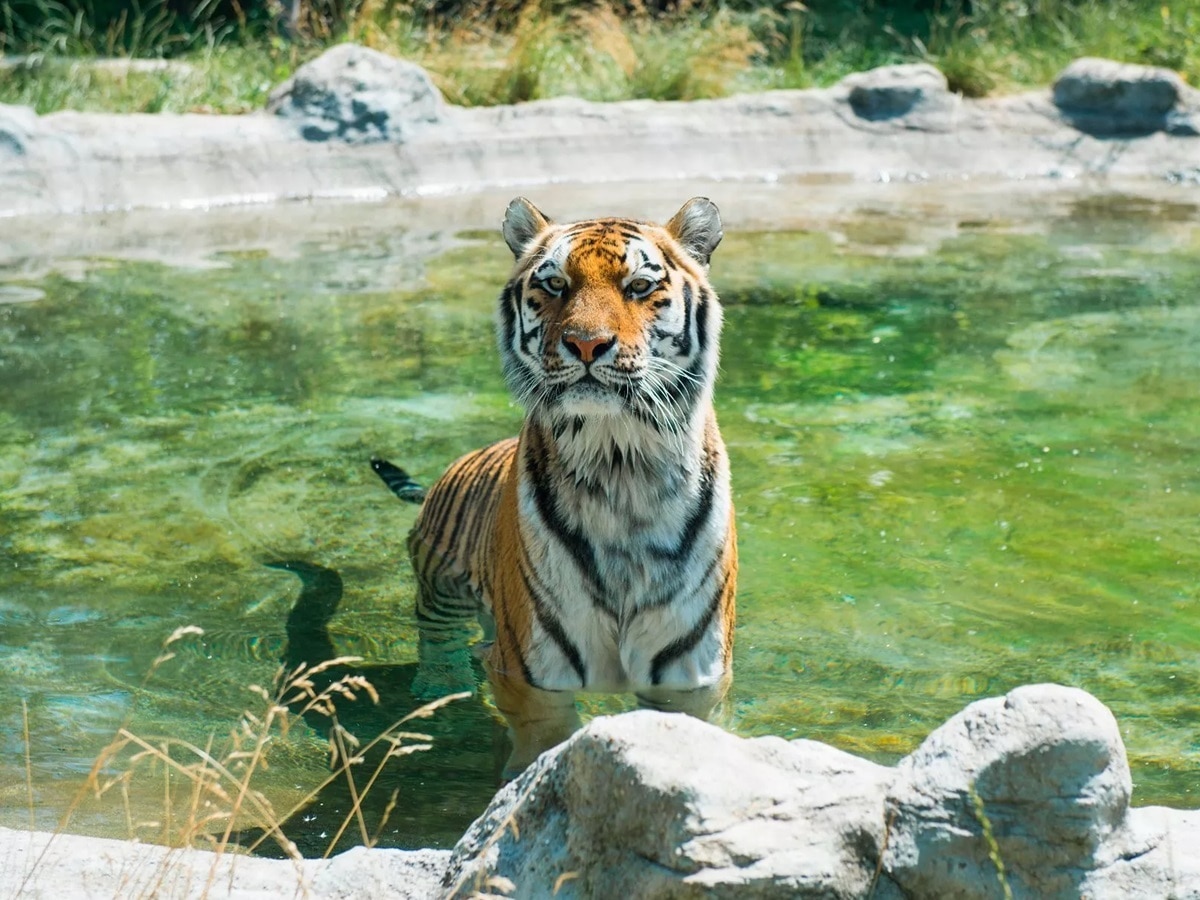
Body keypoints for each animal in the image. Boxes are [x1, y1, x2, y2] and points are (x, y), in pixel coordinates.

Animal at [369, 199, 734, 782]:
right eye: (556, 284)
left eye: (638, 286)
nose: (586, 344)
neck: (620, 465)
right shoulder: (533, 672)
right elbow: (542, 742)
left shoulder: (690, 675)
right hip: (439, 586)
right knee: (439, 639)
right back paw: (441, 692)